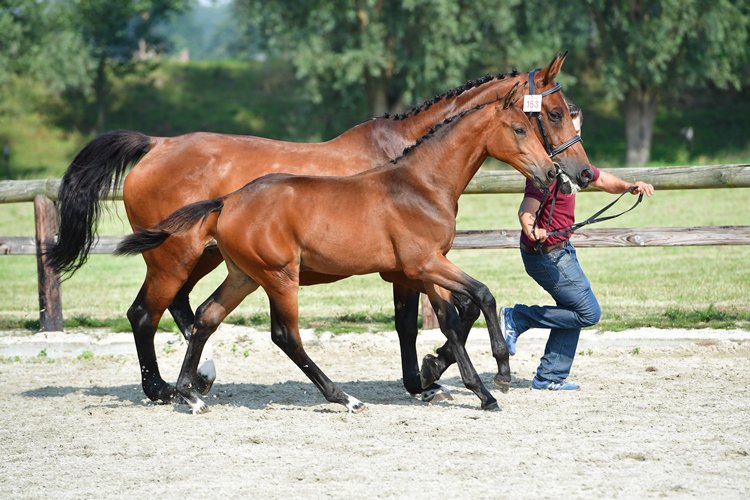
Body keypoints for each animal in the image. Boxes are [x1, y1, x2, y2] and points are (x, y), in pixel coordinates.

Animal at [49, 53, 590, 404]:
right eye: (551, 115)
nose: (576, 174)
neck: (410, 168)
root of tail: (155, 144)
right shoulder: (414, 266)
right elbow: (441, 315)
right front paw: (444, 378)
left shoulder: (414, 267)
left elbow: (439, 317)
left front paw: (430, 378)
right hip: (182, 257)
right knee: (149, 314)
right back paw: (166, 389)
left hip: (215, 261)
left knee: (190, 311)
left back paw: (194, 382)